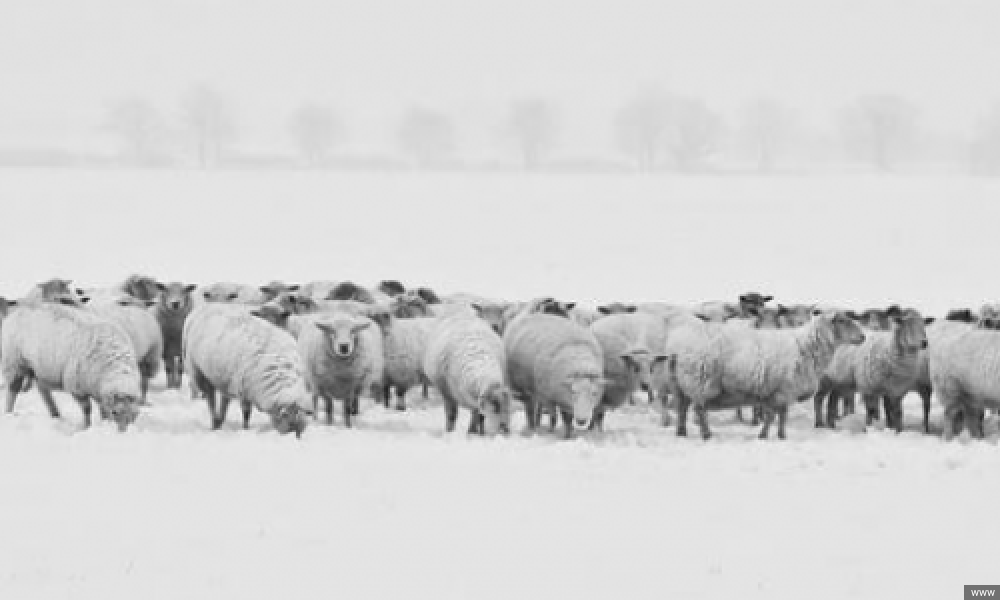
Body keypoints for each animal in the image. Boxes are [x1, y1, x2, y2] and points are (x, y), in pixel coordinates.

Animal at [1, 302, 144, 434]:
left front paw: (103, 424)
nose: (123, 433)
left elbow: (102, 409)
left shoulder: (98, 390)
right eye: (115, 412)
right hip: (14, 363)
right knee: (12, 390)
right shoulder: (76, 387)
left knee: (43, 390)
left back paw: (55, 414)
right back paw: (9, 412)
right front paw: (87, 427)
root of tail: (18, 310)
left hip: (39, 369)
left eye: (135, 415)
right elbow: (87, 409)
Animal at [184, 304, 312, 436]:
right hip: (199, 372)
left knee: (224, 399)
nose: (296, 435)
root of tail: (205, 306)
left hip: (225, 378)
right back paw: (215, 423)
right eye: (286, 417)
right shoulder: (243, 389)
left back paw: (220, 420)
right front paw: (245, 429)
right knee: (210, 399)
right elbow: (246, 413)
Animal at [660, 312, 864, 438]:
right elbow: (774, 417)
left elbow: (780, 415)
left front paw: (780, 436)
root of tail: (676, 345)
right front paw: (766, 435)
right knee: (699, 410)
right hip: (700, 382)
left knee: (682, 409)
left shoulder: (778, 392)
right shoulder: (782, 390)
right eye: (842, 320)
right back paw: (706, 434)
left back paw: (681, 432)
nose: (863, 337)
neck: (805, 346)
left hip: (679, 384)